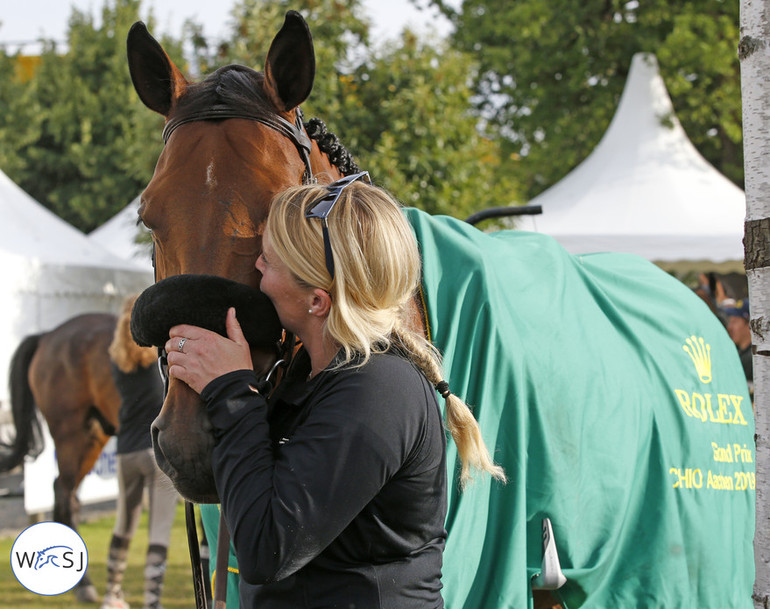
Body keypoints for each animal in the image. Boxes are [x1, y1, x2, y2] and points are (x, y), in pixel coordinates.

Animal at [0, 312, 121, 600]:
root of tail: (48, 335)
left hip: (93, 437)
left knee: (70, 495)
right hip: (70, 435)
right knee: (64, 493)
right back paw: (83, 586)